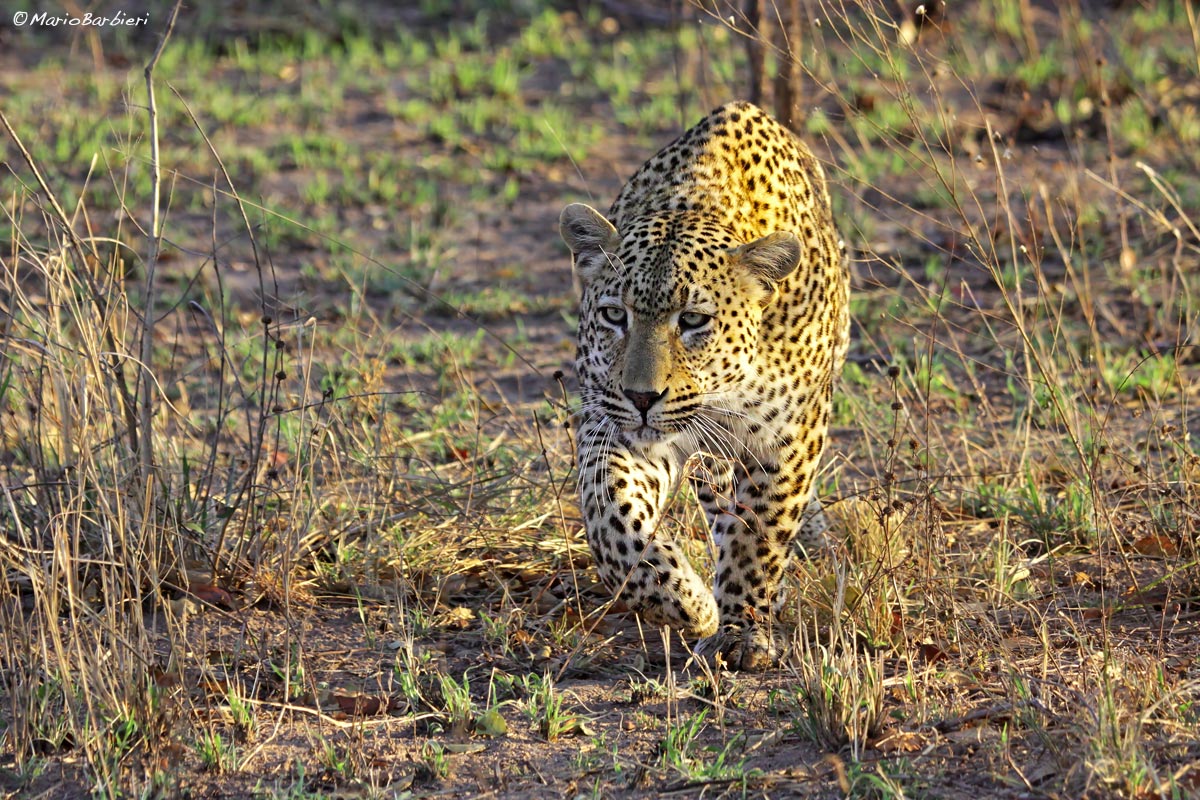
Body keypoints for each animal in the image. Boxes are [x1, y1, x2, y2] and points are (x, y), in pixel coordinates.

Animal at [558, 101, 850, 671]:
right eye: (614, 315)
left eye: (693, 320)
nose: (642, 397)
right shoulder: (613, 421)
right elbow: (609, 515)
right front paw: (685, 602)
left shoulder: (786, 436)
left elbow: (759, 537)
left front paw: (743, 629)